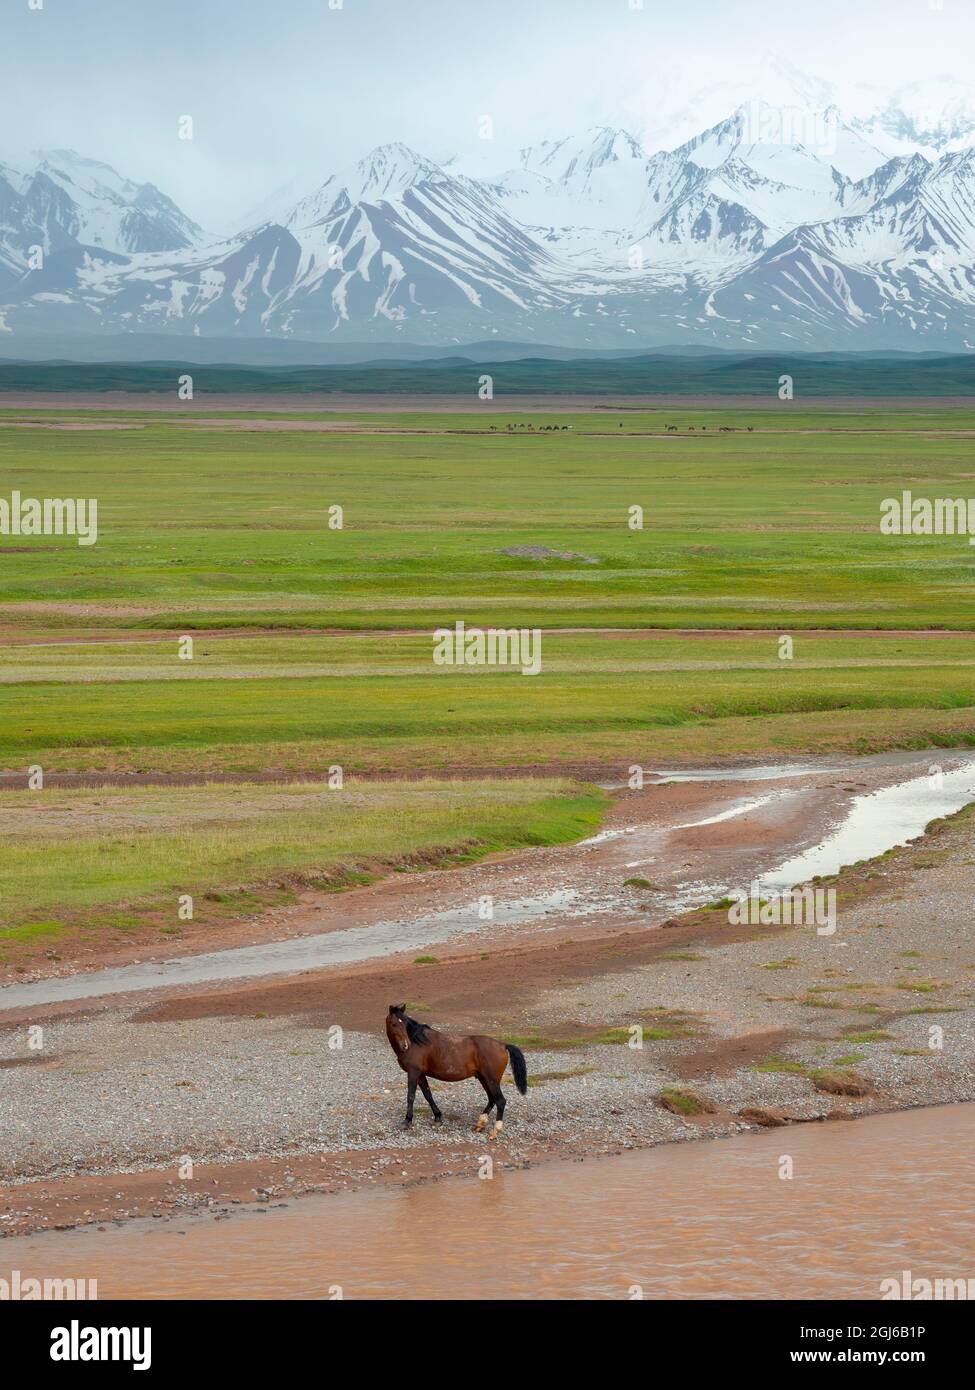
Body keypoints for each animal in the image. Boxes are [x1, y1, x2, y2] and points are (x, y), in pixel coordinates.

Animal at [385, 1004, 528, 1140]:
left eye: (404, 1024)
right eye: (394, 1024)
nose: (405, 1045)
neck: (417, 1042)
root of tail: (503, 1045)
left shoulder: (413, 1073)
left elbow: (411, 1096)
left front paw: (407, 1121)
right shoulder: (420, 1075)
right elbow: (428, 1095)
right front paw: (438, 1117)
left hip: (491, 1080)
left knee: (500, 1101)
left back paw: (494, 1132)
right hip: (484, 1079)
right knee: (492, 1099)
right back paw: (480, 1124)